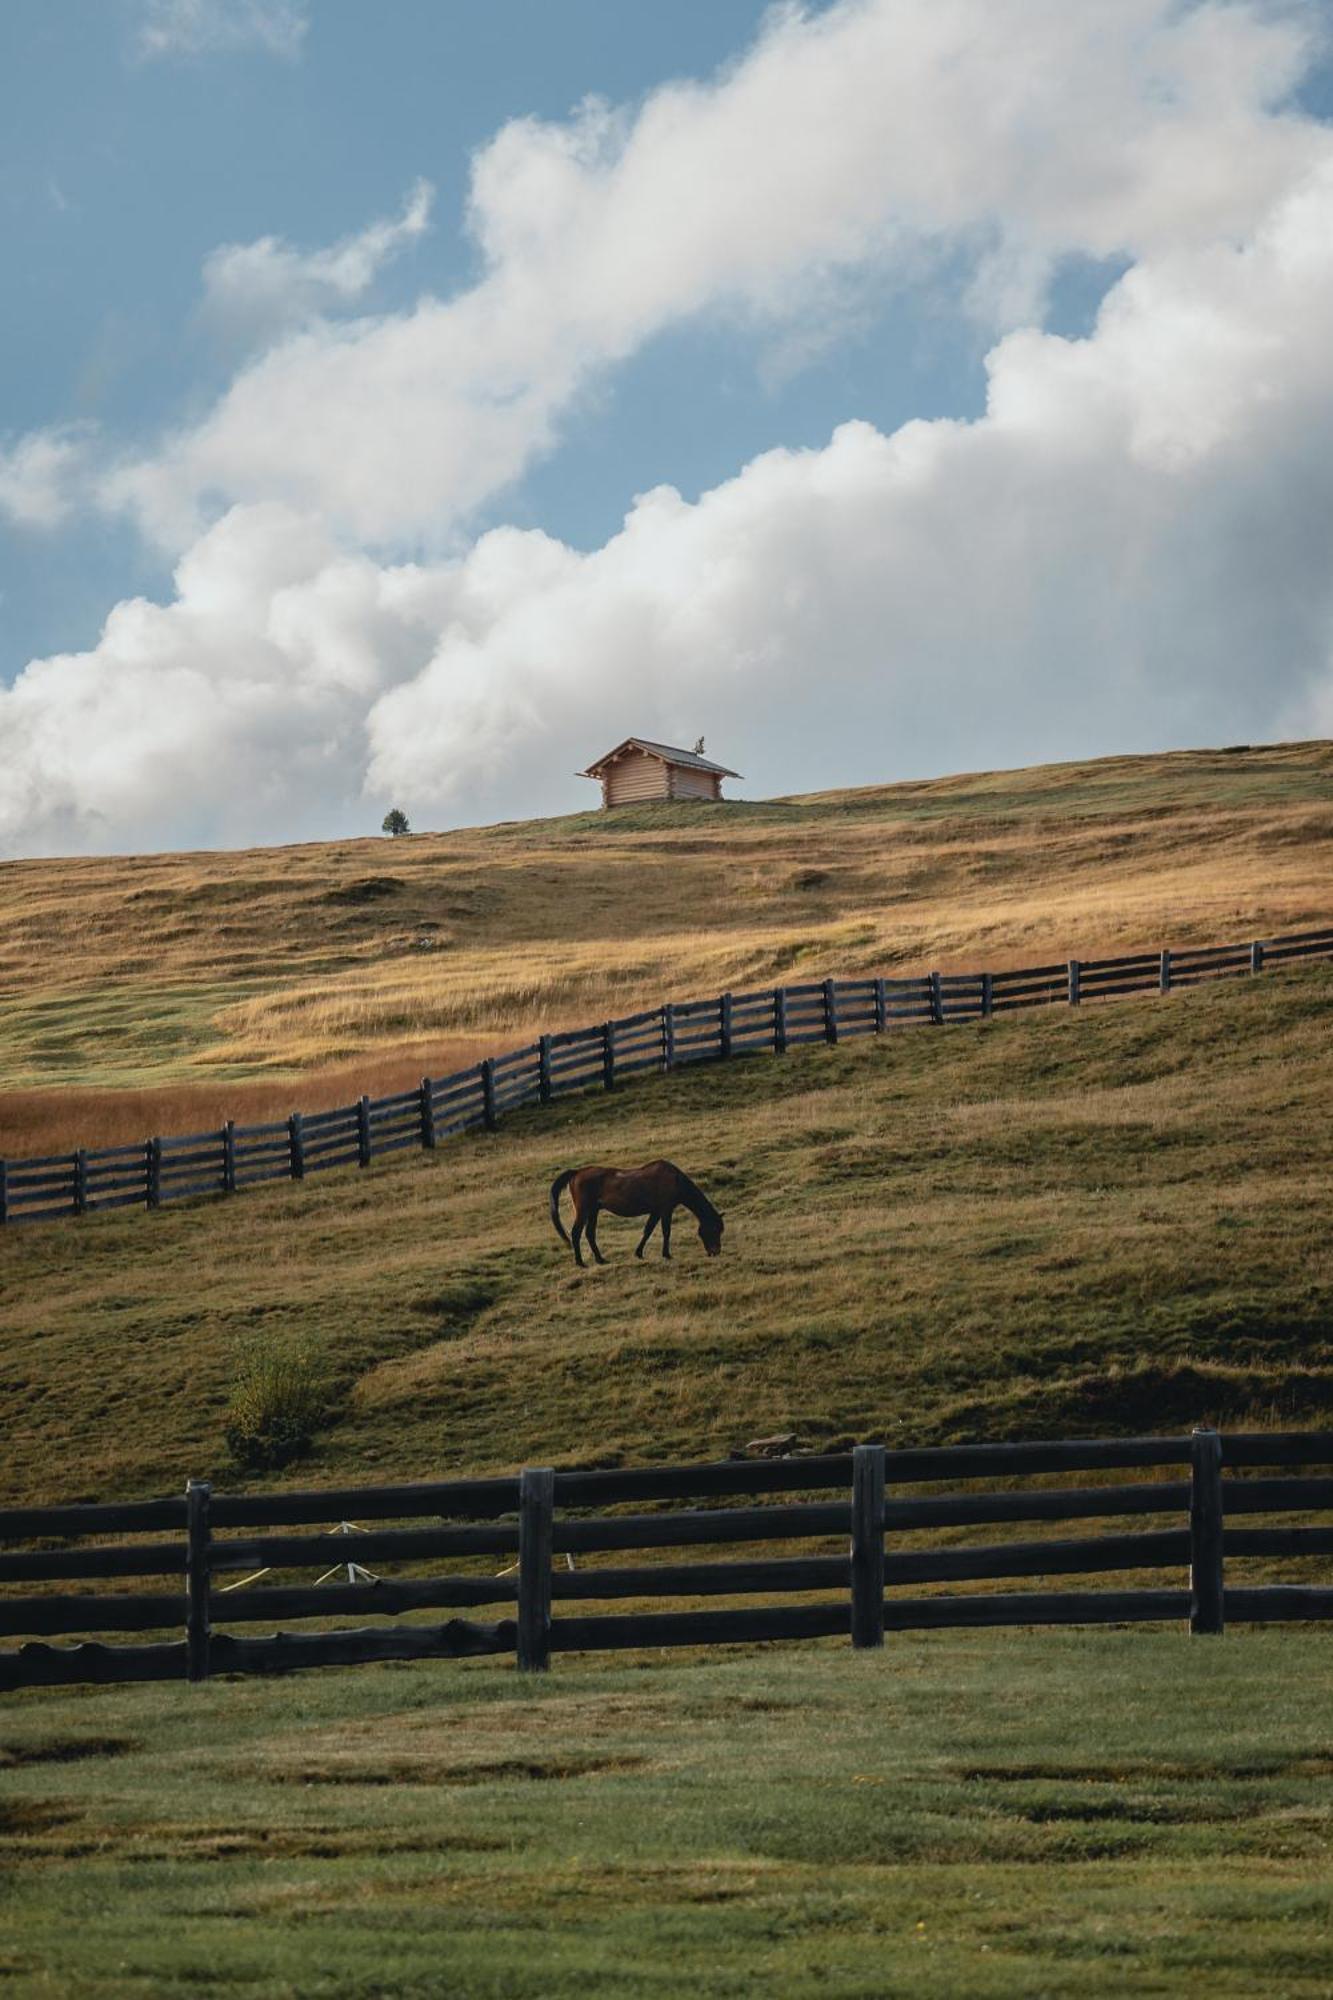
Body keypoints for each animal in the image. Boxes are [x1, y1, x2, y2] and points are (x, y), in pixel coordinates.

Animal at [544, 1160, 720, 1264]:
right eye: (714, 1230)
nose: (715, 1252)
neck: (674, 1180)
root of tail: (577, 1172)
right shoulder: (665, 1210)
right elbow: (666, 1232)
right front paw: (666, 1254)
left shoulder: (656, 1211)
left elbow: (648, 1231)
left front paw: (639, 1253)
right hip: (583, 1211)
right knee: (576, 1233)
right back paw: (580, 1262)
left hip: (593, 1211)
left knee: (589, 1234)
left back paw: (600, 1259)